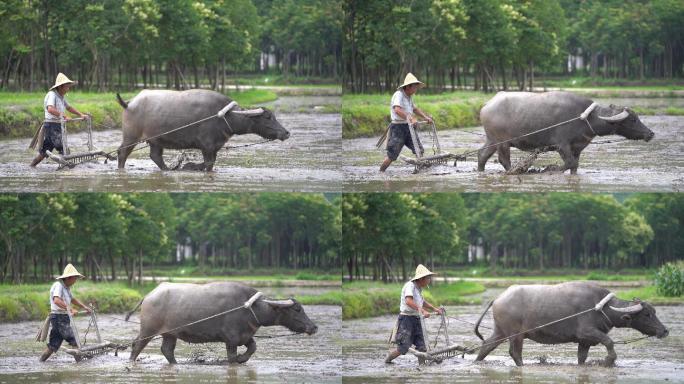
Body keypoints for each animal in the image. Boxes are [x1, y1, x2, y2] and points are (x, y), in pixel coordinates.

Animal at [117, 89, 288, 170]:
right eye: (268, 117)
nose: (286, 133)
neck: (224, 117)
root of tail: (129, 103)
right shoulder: (207, 146)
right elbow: (207, 163)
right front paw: (189, 166)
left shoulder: (215, 147)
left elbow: (211, 163)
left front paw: (188, 166)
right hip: (131, 137)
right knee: (122, 152)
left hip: (156, 140)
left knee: (155, 156)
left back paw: (167, 169)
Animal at [126, 280, 318, 364]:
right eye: (297, 309)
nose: (314, 327)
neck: (250, 308)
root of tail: (148, 295)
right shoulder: (231, 340)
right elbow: (232, 357)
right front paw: (237, 359)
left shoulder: (245, 336)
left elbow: (253, 347)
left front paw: (242, 358)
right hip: (148, 330)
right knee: (137, 344)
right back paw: (131, 361)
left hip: (170, 333)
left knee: (167, 350)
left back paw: (175, 364)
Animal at [476, 282, 668, 366]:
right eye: (647, 314)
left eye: (655, 312)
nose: (664, 331)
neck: (601, 307)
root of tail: (498, 298)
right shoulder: (587, 332)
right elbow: (609, 341)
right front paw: (608, 360)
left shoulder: (584, 341)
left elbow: (582, 357)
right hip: (516, 335)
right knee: (515, 352)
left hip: (501, 331)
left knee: (487, 345)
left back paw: (478, 361)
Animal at [478, 91, 656, 173]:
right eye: (633, 119)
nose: (650, 133)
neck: (586, 117)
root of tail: (487, 105)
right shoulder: (561, 145)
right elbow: (569, 163)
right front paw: (548, 169)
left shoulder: (577, 148)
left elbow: (575, 166)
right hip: (502, 142)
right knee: (503, 160)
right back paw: (514, 171)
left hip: (491, 140)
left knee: (482, 155)